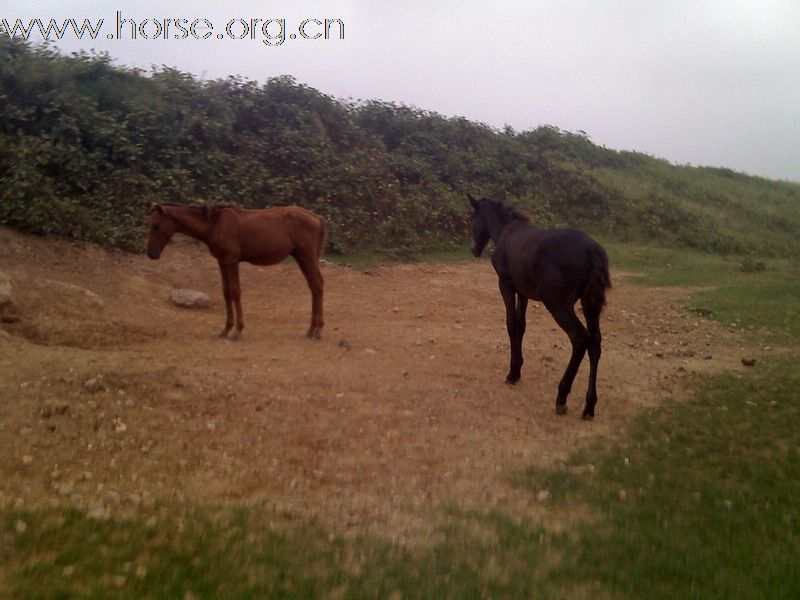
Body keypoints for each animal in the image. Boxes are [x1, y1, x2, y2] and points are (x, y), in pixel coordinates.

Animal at [147, 204, 324, 340]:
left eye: (155, 225)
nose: (151, 253)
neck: (214, 224)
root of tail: (315, 217)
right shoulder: (222, 262)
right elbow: (226, 293)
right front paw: (225, 330)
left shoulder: (232, 261)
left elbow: (235, 292)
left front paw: (237, 331)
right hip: (302, 258)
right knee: (314, 286)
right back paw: (311, 329)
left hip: (306, 257)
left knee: (317, 285)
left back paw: (318, 330)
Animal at [468, 196, 612, 418]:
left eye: (472, 219)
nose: (473, 249)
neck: (506, 231)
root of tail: (591, 250)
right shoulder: (523, 292)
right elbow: (521, 324)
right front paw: (518, 369)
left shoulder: (506, 284)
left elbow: (511, 324)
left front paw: (512, 373)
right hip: (589, 304)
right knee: (595, 343)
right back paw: (589, 406)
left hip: (558, 304)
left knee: (580, 338)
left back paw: (562, 397)